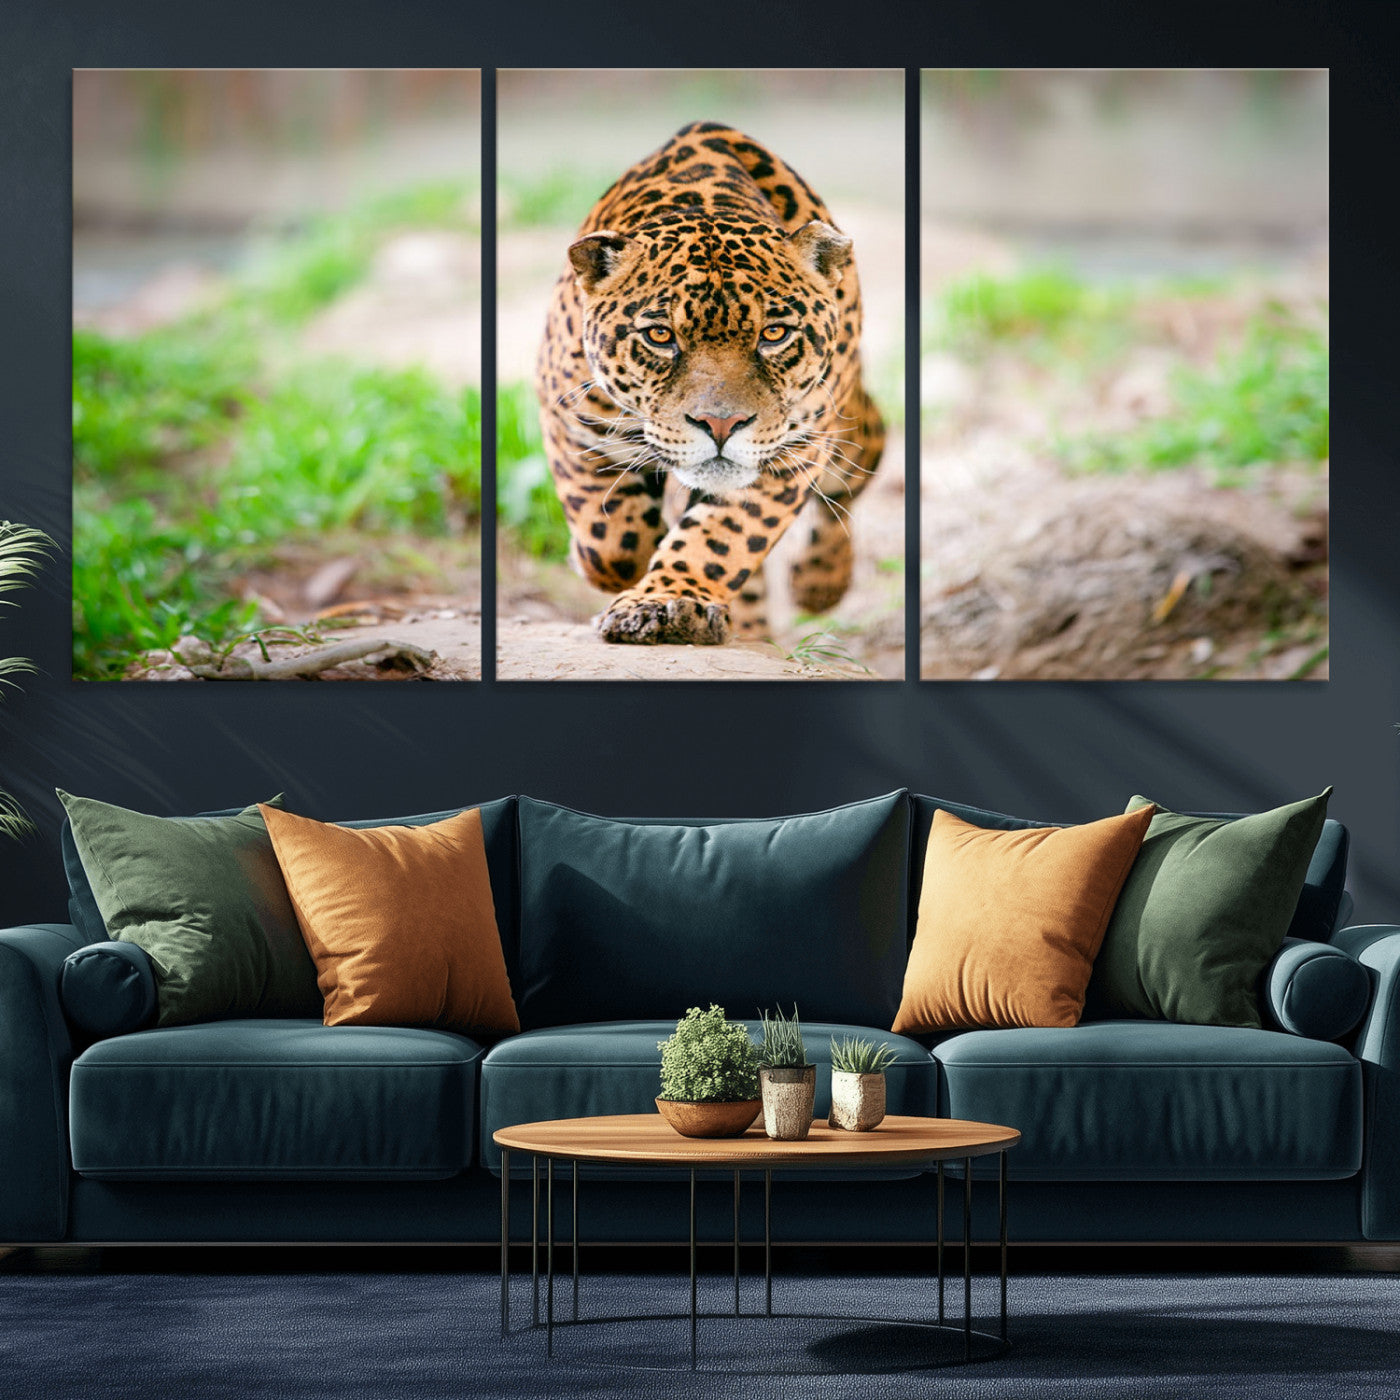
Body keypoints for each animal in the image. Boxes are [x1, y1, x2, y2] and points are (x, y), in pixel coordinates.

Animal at [534, 121, 886, 645]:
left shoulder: (792, 452)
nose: (721, 425)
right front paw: (616, 566)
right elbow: (610, 538)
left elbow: (723, 537)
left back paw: (819, 583)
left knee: (856, 467)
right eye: (660, 335)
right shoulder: (572, 420)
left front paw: (667, 601)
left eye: (774, 334)